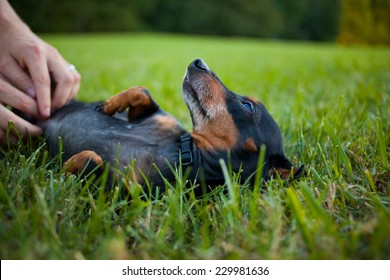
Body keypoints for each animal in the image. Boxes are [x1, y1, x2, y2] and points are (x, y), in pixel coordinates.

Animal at [43, 58, 304, 192]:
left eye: (248, 106)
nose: (199, 62)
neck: (184, 151)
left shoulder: (125, 192)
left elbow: (92, 159)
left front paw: (58, 173)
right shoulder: (156, 116)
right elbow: (143, 91)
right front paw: (109, 105)